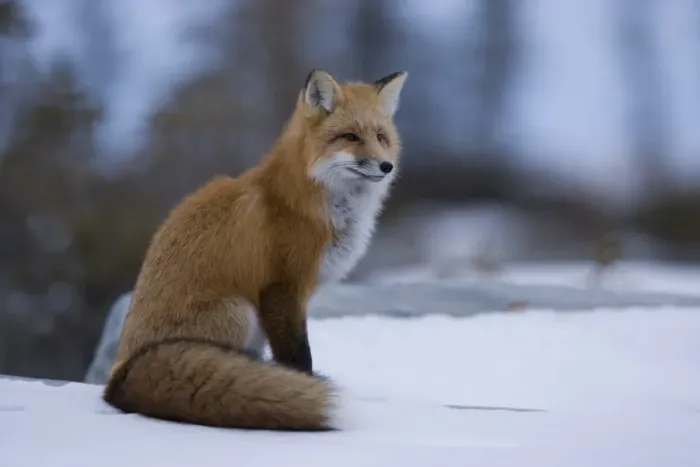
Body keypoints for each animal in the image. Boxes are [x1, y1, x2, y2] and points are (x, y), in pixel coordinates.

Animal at [102, 69, 408, 431]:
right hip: (239, 311)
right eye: (349, 136)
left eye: (381, 137)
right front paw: (303, 388)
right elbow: (297, 356)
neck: (308, 202)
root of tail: (118, 377)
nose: (386, 166)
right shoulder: (282, 288)